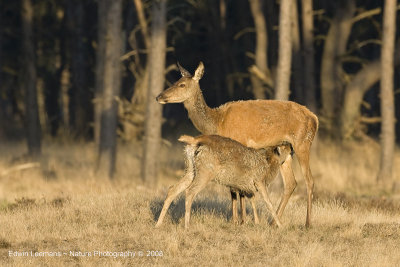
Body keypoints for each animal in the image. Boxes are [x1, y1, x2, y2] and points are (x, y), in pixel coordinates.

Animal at [156, 62, 318, 228]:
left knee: (309, 180)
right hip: (287, 149)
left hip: (303, 143)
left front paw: (241, 220)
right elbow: (234, 188)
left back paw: (307, 223)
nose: (159, 96)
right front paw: (238, 220)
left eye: (182, 84)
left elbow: (236, 189)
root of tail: (314, 118)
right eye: (175, 81)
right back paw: (273, 222)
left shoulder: (240, 142)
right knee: (291, 183)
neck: (217, 122)